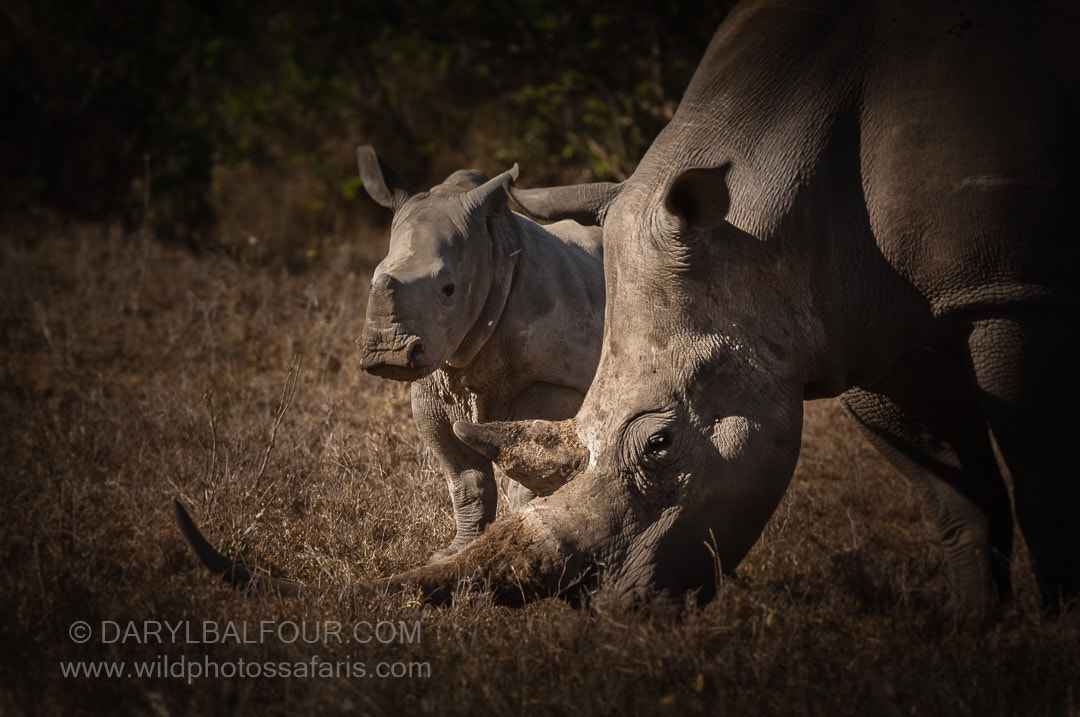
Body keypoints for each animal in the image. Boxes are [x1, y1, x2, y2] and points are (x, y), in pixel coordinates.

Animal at [356, 146, 604, 561]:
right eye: (372, 278)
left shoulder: (557, 377)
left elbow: (536, 462)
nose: (387, 352)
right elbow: (465, 479)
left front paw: (526, 533)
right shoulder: (433, 380)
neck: (492, 254)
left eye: (449, 290)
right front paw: (454, 553)